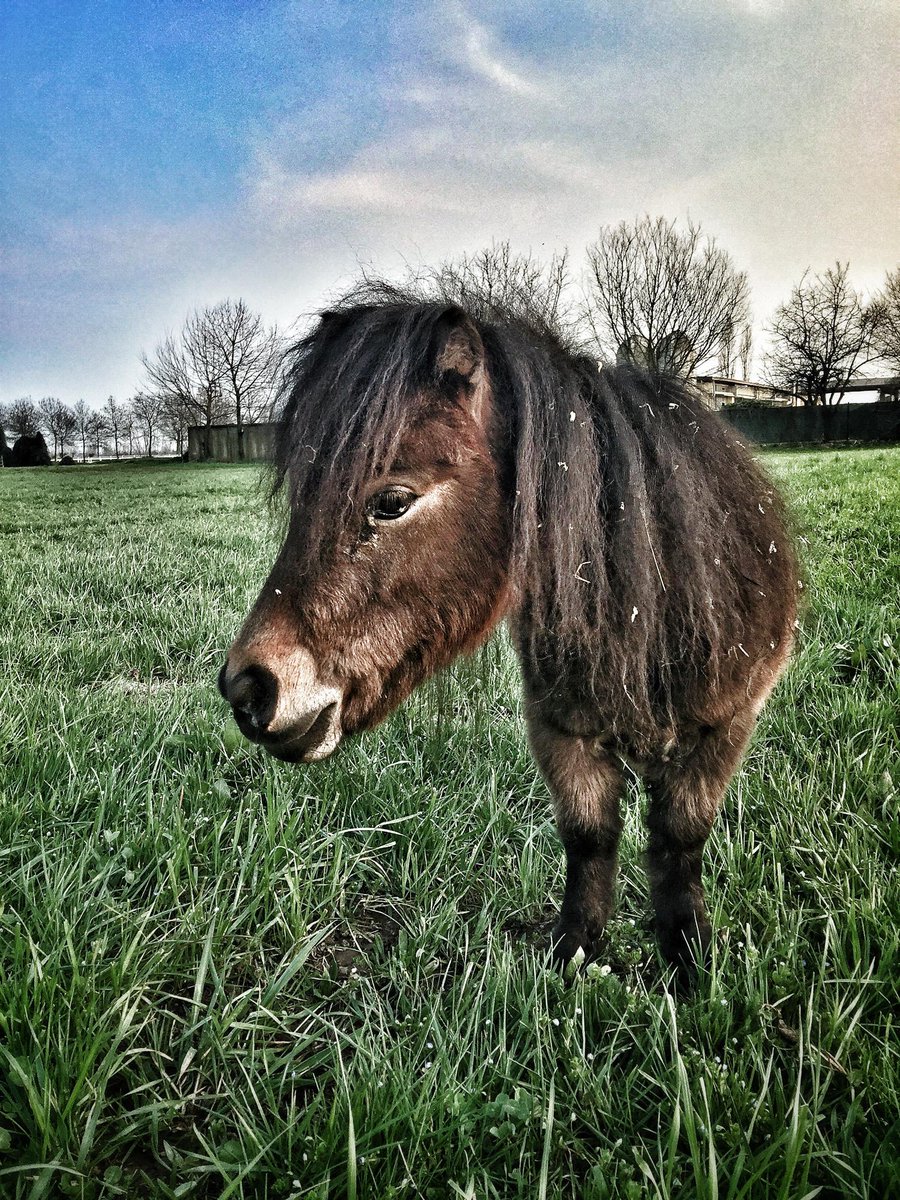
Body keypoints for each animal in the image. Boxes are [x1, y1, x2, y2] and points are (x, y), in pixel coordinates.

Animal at [219, 286, 798, 983]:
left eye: (392, 502)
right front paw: (575, 953)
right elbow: (589, 836)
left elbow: (678, 841)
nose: (248, 688)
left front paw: (688, 961)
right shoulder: (561, 732)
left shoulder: (723, 732)